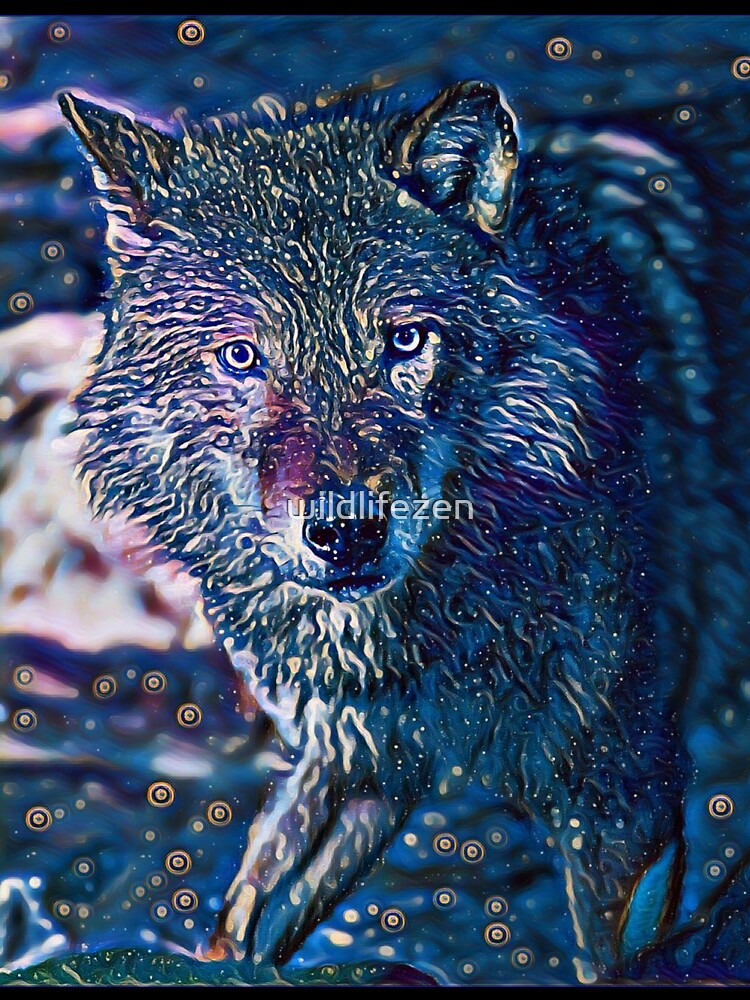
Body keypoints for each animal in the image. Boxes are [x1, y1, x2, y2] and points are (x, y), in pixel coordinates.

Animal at [59, 80, 687, 979]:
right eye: (242, 357)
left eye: (404, 340)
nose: (346, 533)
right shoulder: (356, 753)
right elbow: (245, 924)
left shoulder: (622, 788)